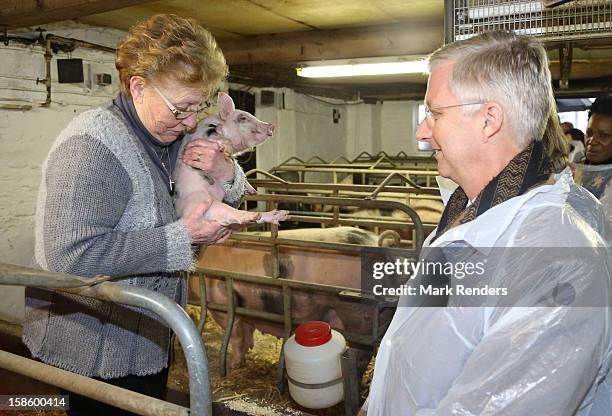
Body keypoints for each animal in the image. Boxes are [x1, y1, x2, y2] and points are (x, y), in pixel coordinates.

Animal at [171, 92, 288, 226]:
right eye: (243, 118)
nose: (271, 126)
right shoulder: (208, 134)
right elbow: (218, 138)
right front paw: (225, 148)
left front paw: (253, 191)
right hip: (199, 200)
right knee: (231, 213)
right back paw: (253, 215)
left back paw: (281, 214)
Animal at [189, 229, 394, 368]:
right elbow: (246, 334)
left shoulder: (222, 305)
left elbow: (235, 336)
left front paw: (233, 366)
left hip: (358, 315)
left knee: (361, 355)